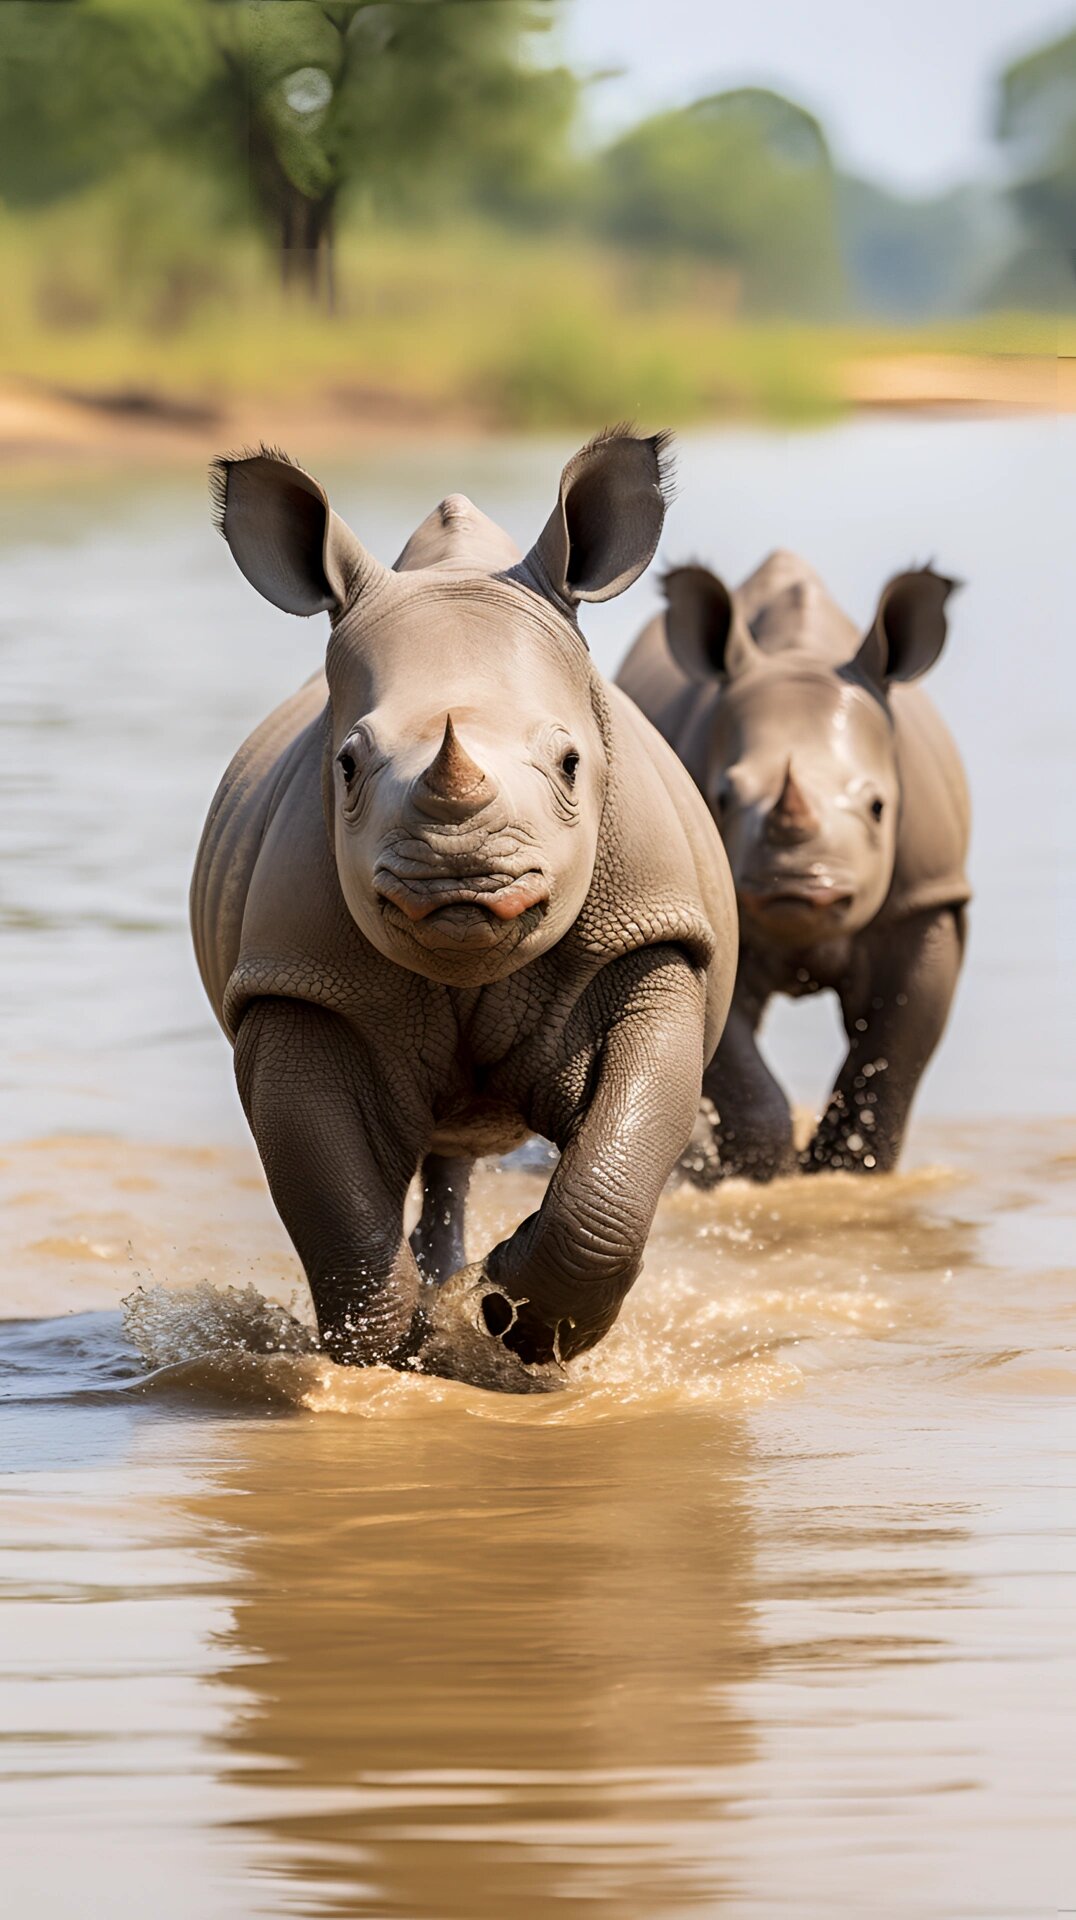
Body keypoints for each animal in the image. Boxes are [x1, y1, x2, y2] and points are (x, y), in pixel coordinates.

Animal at [189, 435, 733, 1390]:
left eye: (570, 763)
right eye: (345, 767)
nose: (459, 877)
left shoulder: (650, 940)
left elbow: (619, 1164)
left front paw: (513, 1318)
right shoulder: (297, 980)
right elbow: (329, 1196)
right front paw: (398, 1355)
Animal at [614, 541, 976, 1167]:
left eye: (878, 806)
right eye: (722, 798)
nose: (798, 885)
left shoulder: (926, 900)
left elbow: (893, 1057)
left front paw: (848, 1171)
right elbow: (740, 1076)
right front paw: (765, 1174)